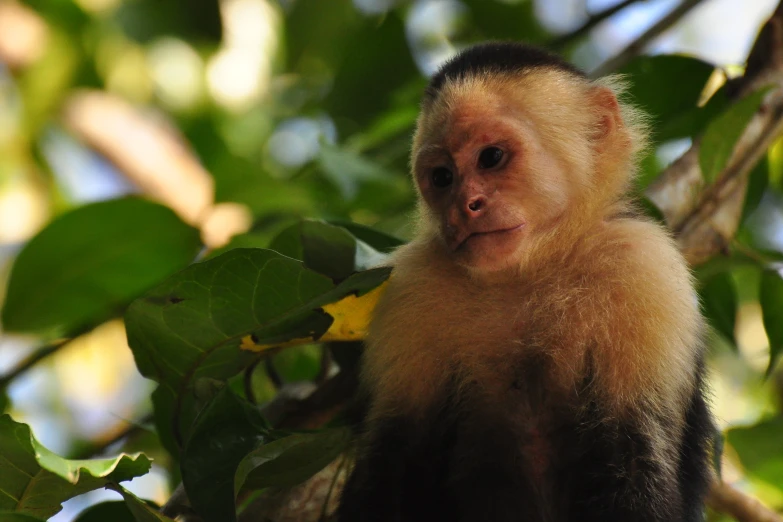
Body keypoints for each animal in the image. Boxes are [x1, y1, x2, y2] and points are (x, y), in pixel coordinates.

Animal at [336, 42, 716, 520]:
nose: (465, 206)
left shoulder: (644, 266)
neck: (529, 270)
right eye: (442, 178)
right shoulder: (411, 286)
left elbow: (636, 457)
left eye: (491, 157)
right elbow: (391, 461)